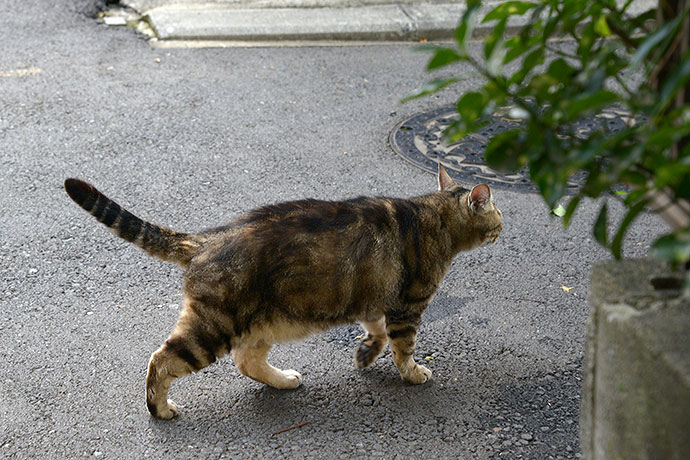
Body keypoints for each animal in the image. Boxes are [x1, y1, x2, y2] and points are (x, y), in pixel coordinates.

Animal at [64, 164, 500, 418]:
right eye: (497, 213)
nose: (502, 226)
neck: (432, 214)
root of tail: (206, 239)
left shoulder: (374, 298)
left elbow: (375, 332)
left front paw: (364, 353)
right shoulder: (407, 307)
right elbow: (403, 348)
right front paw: (413, 372)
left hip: (265, 322)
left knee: (247, 361)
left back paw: (284, 380)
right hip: (213, 328)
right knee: (162, 360)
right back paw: (160, 408)